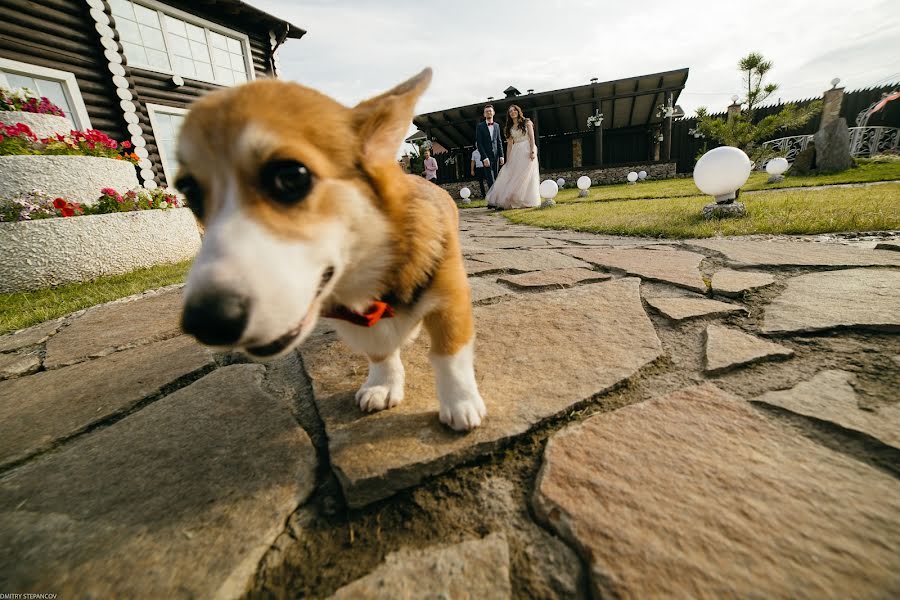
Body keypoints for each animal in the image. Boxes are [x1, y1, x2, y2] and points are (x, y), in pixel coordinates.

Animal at [174, 68, 486, 428]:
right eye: (188, 192)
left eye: (292, 177)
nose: (205, 322)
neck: (371, 271)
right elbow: (380, 353)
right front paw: (382, 385)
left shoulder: (450, 301)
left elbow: (448, 355)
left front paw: (460, 403)